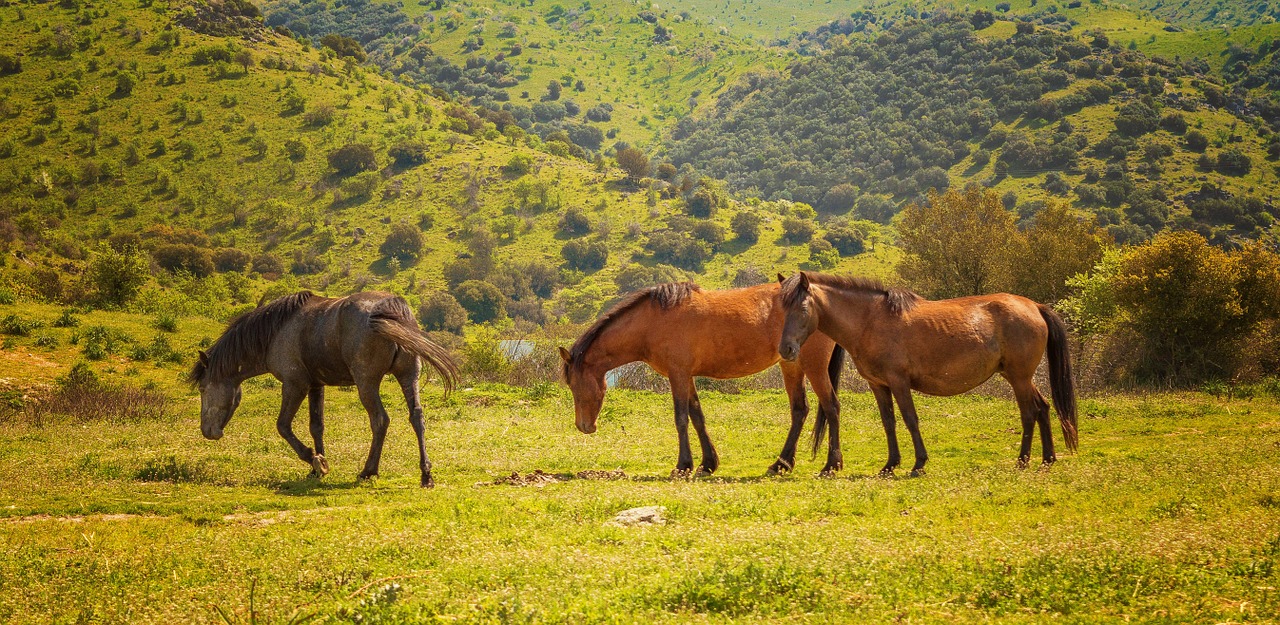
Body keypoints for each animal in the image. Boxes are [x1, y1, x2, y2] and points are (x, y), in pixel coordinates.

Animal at [189, 292, 460, 489]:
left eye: (202, 388)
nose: (207, 432)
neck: (276, 331)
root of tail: (392, 309)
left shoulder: (294, 384)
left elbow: (283, 426)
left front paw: (315, 460)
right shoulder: (316, 385)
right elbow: (316, 427)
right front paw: (316, 467)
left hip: (367, 382)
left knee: (380, 420)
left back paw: (368, 471)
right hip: (408, 376)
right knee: (417, 417)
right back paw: (426, 475)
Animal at [563, 277, 849, 478]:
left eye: (574, 385)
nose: (583, 426)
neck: (654, 322)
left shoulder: (677, 375)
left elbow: (681, 418)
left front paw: (683, 465)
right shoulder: (686, 376)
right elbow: (697, 416)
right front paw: (708, 463)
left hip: (813, 365)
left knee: (831, 407)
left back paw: (831, 465)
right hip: (791, 365)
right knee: (800, 410)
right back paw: (781, 464)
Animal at [773, 271, 1075, 476]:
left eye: (802, 308)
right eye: (781, 309)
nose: (785, 349)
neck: (870, 321)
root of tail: (1035, 306)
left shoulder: (899, 382)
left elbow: (910, 419)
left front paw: (918, 463)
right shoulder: (878, 385)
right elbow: (889, 422)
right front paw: (890, 464)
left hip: (1019, 377)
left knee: (1029, 413)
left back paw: (1023, 460)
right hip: (1018, 376)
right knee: (1042, 407)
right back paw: (1047, 459)